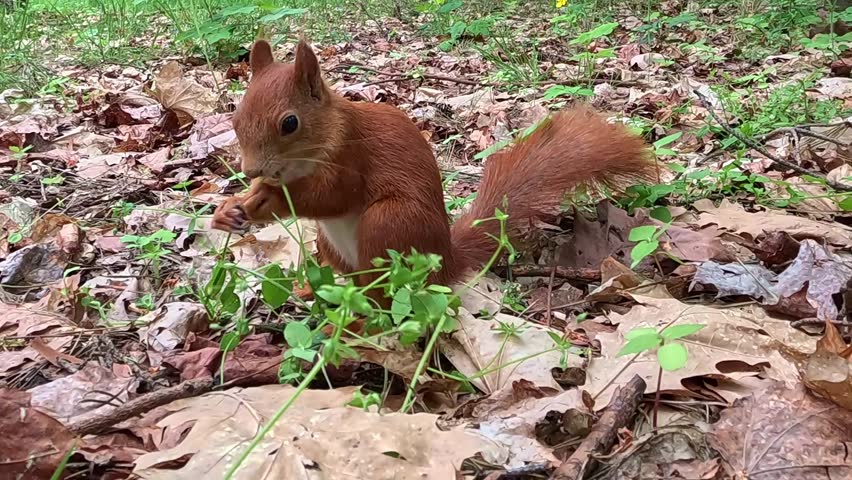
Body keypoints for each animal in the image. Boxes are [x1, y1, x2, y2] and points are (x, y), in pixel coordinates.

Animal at [212, 39, 656, 305]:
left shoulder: (352, 157)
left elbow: (333, 195)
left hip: (390, 222)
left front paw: (271, 200)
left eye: (290, 123)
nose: (250, 168)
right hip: (332, 245)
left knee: (385, 293)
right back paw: (314, 290)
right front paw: (230, 210)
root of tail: (446, 259)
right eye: (235, 116)